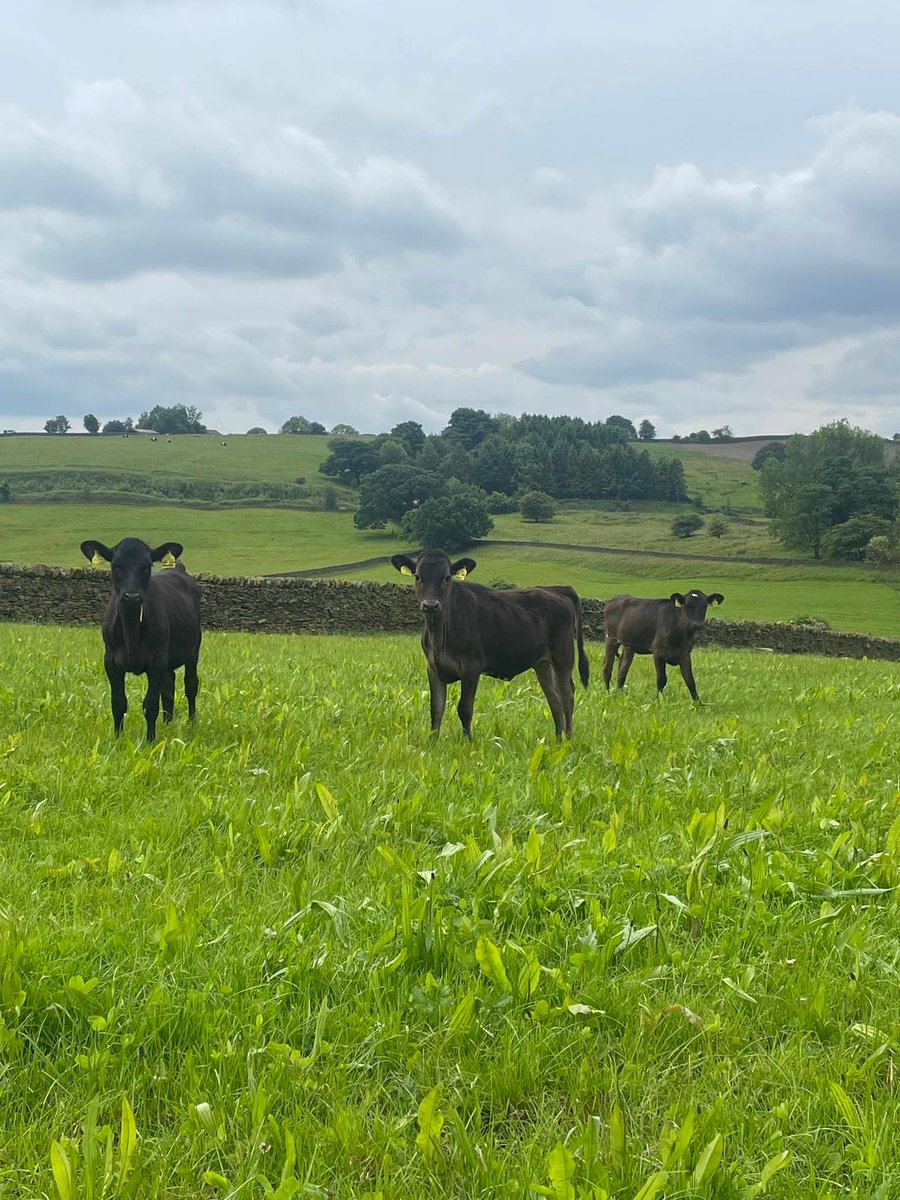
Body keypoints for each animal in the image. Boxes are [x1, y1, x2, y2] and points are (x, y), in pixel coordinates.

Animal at [80, 537, 202, 741]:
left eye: (147, 566)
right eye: (116, 565)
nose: (132, 596)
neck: (131, 632)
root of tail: (177, 568)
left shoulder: (156, 662)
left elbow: (150, 704)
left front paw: (150, 741)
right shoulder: (111, 662)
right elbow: (118, 703)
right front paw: (118, 739)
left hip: (193, 651)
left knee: (190, 685)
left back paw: (192, 723)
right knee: (168, 687)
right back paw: (167, 723)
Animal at [391, 549, 590, 740]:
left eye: (447, 577)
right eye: (418, 577)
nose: (431, 605)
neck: (439, 636)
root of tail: (557, 589)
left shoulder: (471, 668)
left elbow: (464, 708)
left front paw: (468, 742)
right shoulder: (433, 668)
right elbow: (436, 709)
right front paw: (432, 743)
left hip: (563, 656)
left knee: (567, 695)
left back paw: (568, 738)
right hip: (542, 663)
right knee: (554, 699)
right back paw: (558, 739)